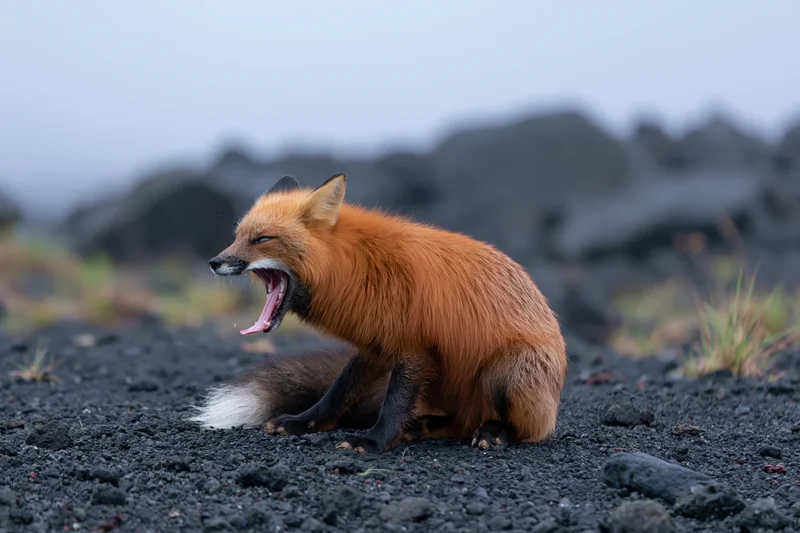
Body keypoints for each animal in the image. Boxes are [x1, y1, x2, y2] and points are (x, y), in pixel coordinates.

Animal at [190, 172, 568, 454]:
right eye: (237, 236)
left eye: (263, 239)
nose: (214, 263)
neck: (358, 265)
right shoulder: (376, 345)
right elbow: (338, 391)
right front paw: (304, 422)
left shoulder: (414, 347)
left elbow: (394, 403)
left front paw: (373, 442)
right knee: (459, 422)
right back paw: (425, 426)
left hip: (507, 371)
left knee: (522, 430)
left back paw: (493, 432)